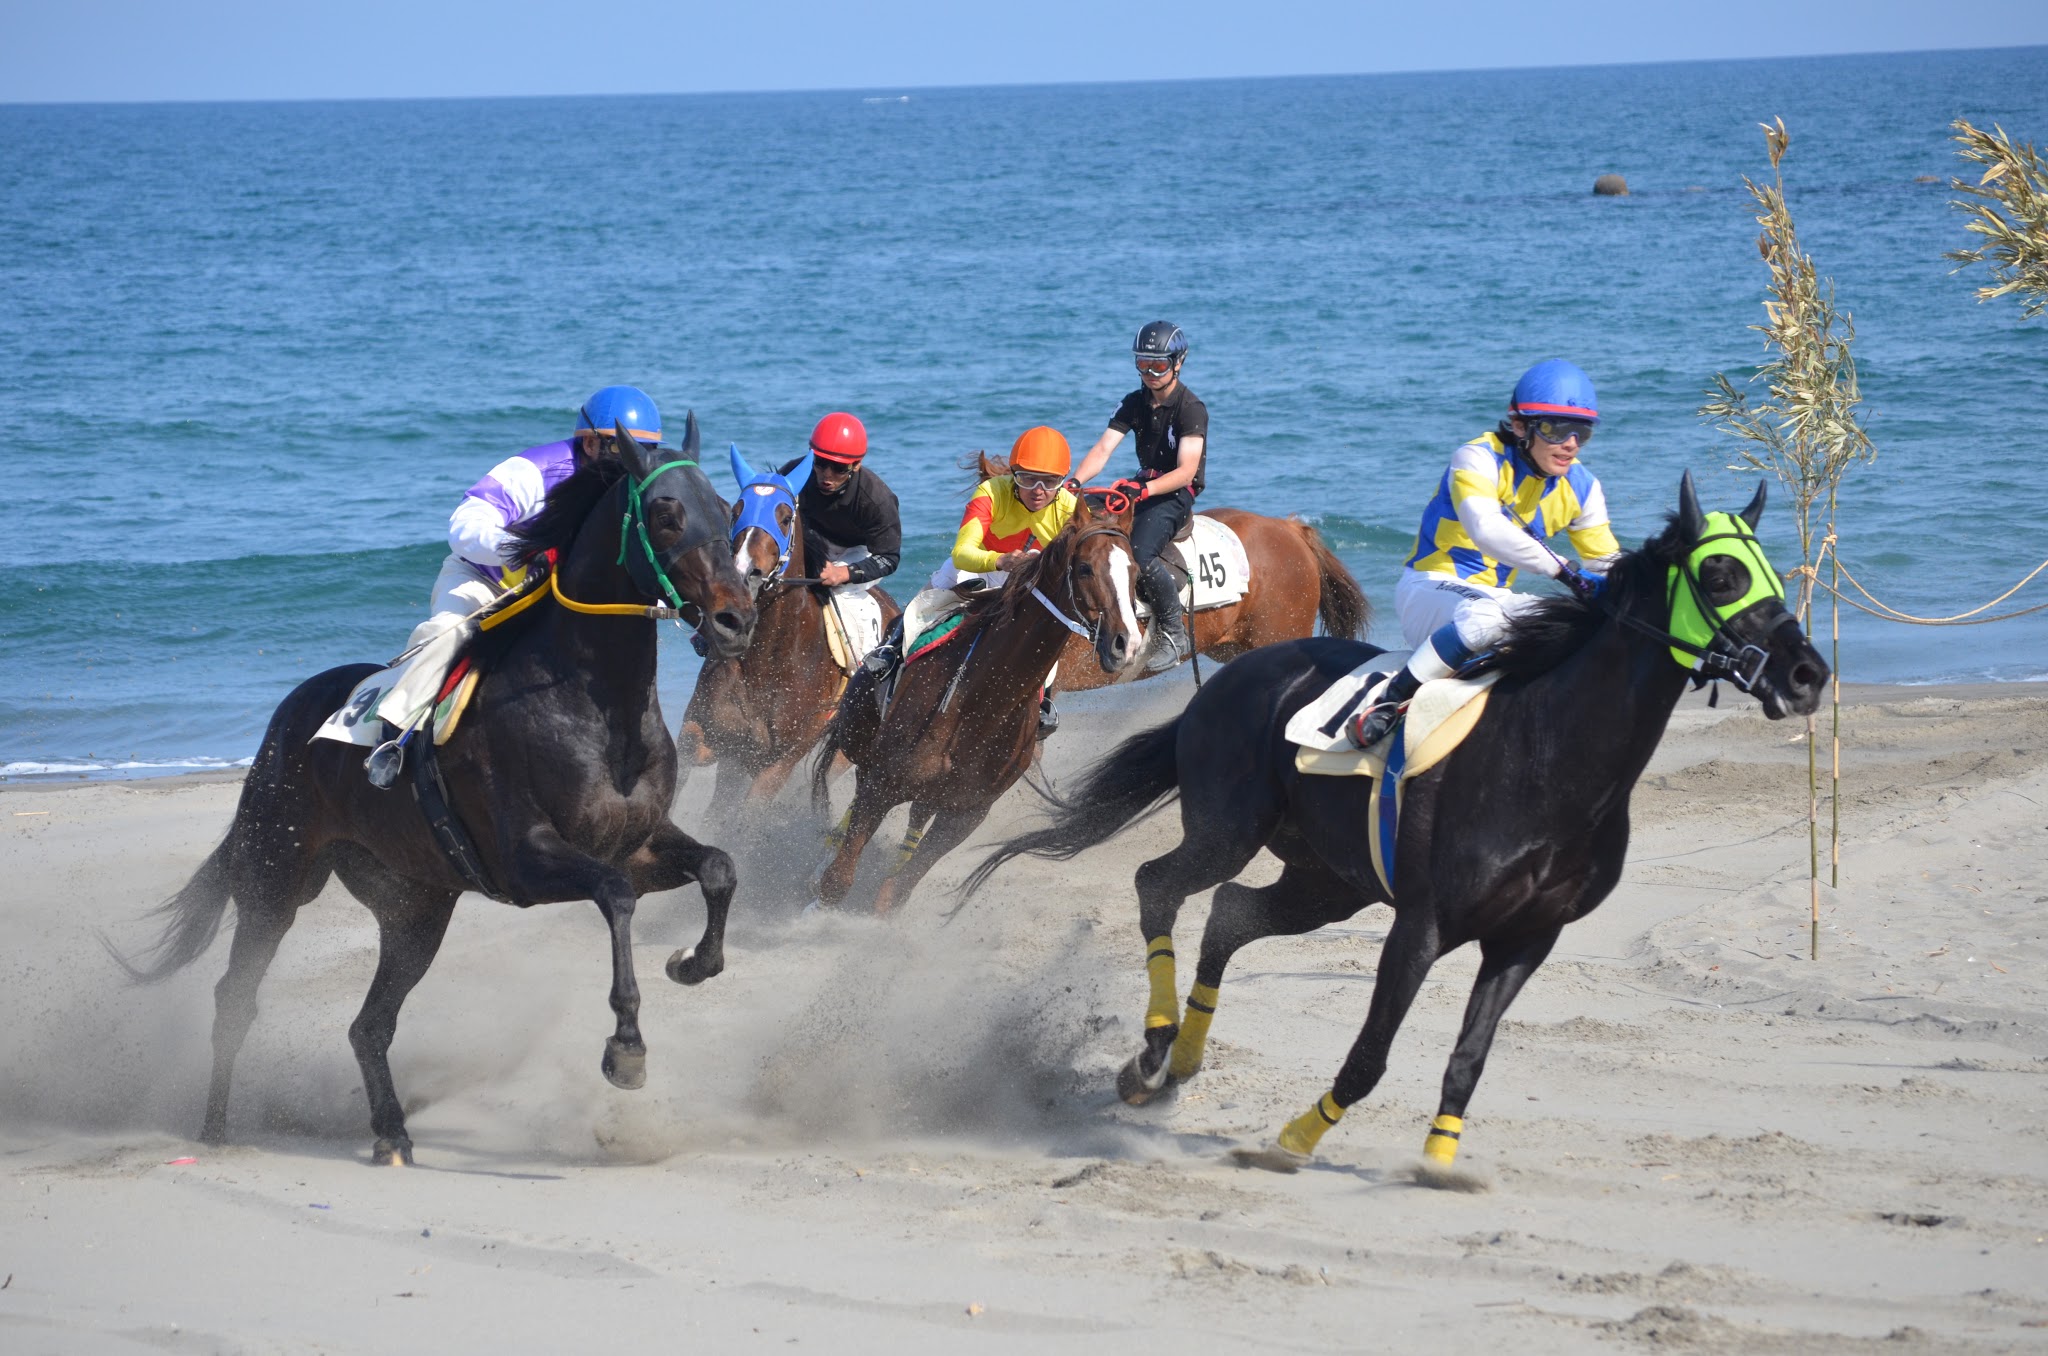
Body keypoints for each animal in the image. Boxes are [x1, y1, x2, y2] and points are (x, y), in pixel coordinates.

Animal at [112, 417, 757, 1171]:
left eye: (726, 509)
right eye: (664, 514)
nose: (736, 620)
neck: (594, 701)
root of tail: (289, 715)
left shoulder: (638, 843)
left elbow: (718, 866)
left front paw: (693, 962)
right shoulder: (529, 860)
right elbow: (616, 898)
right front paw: (626, 1048)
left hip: (414, 909)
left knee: (369, 1025)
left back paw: (392, 1132)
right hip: (275, 881)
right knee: (235, 999)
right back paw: (215, 1130)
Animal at [679, 450, 897, 823]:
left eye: (783, 517)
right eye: (736, 511)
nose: (743, 574)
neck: (767, 662)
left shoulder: (778, 762)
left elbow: (747, 814)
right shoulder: (713, 731)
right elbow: (690, 751)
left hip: (845, 746)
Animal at [802, 493, 1155, 917]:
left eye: (1135, 572)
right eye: (1085, 567)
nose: (1126, 644)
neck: (982, 704)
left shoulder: (966, 814)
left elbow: (896, 892)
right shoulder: (884, 782)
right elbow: (838, 879)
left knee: (914, 816)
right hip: (860, 742)